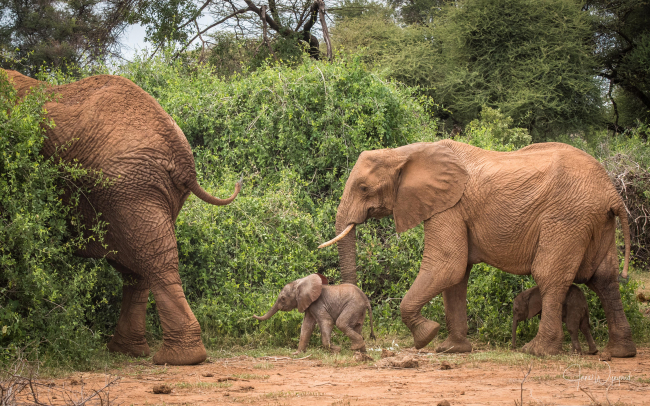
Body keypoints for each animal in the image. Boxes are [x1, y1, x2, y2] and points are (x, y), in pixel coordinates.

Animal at [4, 69, 240, 364]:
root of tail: (183, 158)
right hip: (143, 192)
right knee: (139, 265)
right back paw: (128, 351)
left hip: (128, 188)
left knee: (153, 260)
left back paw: (177, 358)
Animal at [318, 141, 632, 356]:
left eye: (363, 188)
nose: (363, 341)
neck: (406, 152)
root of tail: (612, 193)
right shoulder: (450, 208)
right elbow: (457, 276)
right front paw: (451, 349)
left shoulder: (449, 207)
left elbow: (447, 265)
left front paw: (426, 336)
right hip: (596, 221)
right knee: (605, 279)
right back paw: (618, 353)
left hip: (567, 218)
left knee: (550, 276)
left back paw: (537, 351)